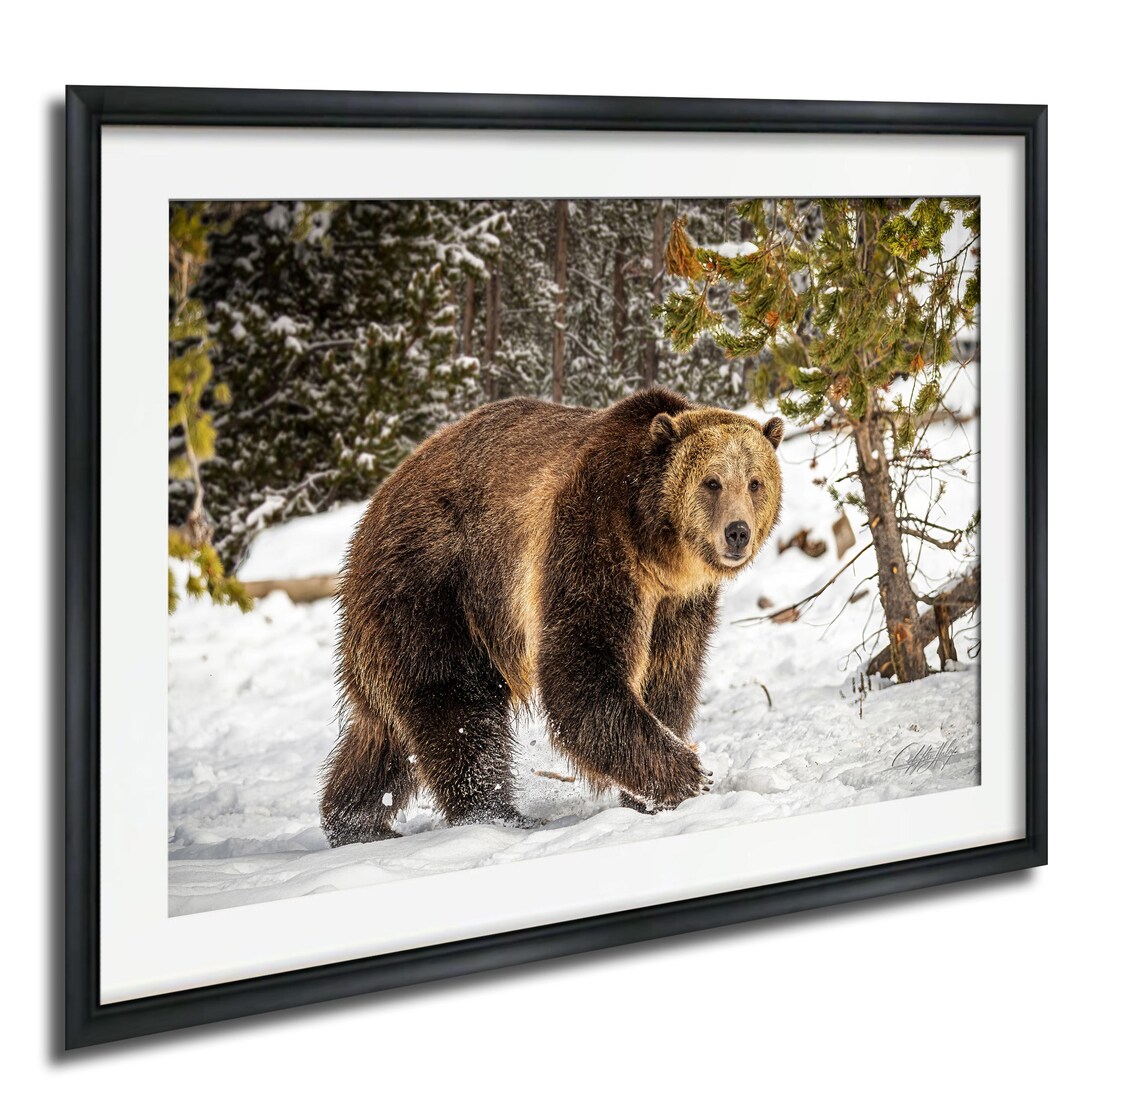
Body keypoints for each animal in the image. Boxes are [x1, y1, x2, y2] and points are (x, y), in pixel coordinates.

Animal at [320, 387, 783, 846]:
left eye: (755, 482)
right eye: (712, 482)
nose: (737, 532)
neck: (657, 549)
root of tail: (375, 506)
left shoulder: (678, 604)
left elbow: (668, 676)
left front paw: (652, 792)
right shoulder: (592, 537)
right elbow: (581, 667)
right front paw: (690, 775)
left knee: (383, 734)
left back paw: (355, 821)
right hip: (436, 582)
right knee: (454, 703)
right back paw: (495, 813)